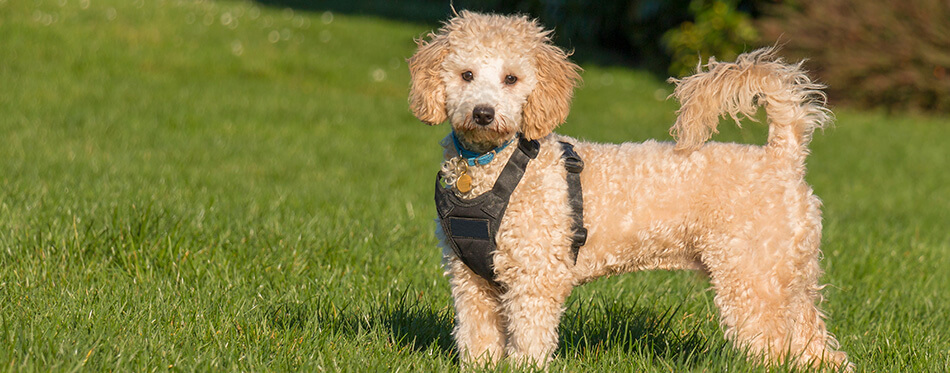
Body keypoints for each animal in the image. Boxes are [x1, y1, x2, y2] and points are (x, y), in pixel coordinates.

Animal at [406, 10, 852, 370]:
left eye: (511, 79)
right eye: (466, 75)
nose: (483, 113)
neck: (493, 167)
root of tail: (782, 155)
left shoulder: (535, 279)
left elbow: (529, 343)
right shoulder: (471, 282)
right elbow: (477, 342)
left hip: (752, 280)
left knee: (778, 350)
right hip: (789, 280)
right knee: (819, 351)